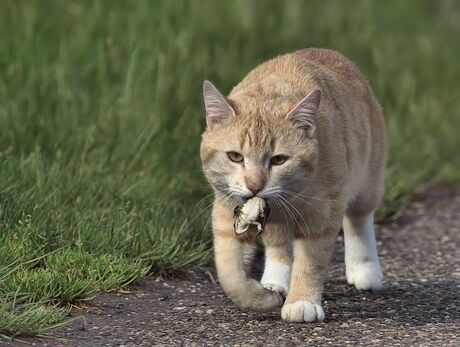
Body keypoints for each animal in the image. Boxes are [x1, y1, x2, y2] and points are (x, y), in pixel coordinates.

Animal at [201, 47, 388, 322]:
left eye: (279, 160)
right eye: (235, 156)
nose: (254, 185)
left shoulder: (323, 214)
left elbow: (310, 263)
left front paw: (302, 301)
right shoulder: (228, 211)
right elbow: (229, 272)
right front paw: (260, 298)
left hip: (367, 182)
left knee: (359, 220)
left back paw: (364, 269)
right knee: (278, 246)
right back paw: (275, 280)